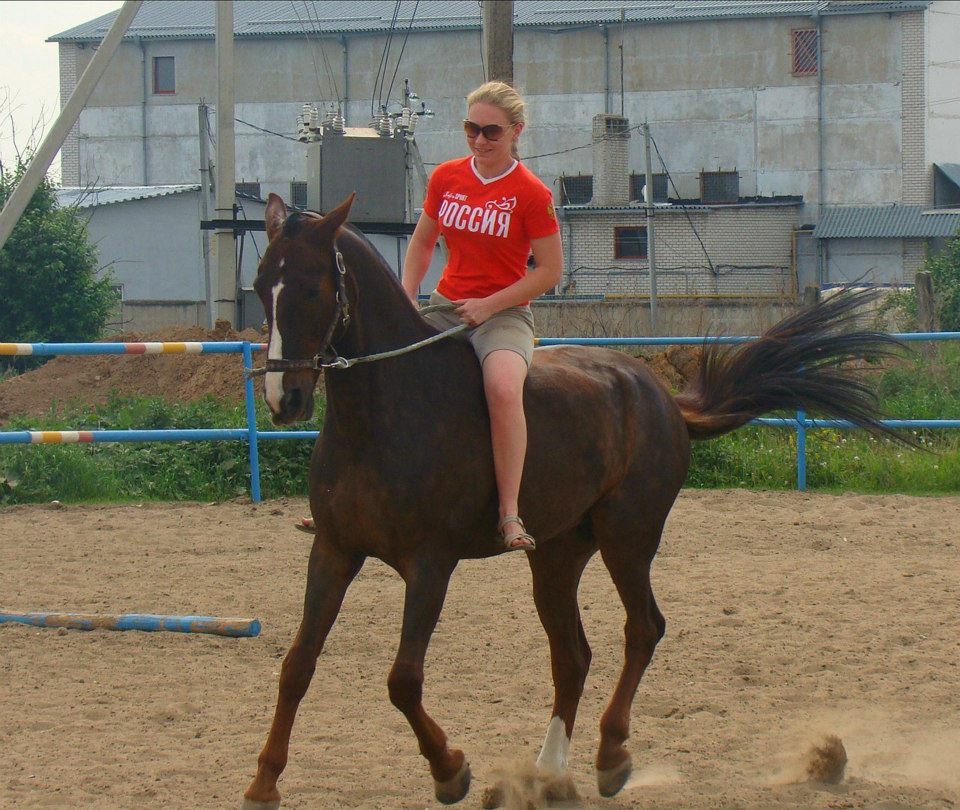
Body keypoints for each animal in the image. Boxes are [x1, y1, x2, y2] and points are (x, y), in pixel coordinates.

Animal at [240, 192, 902, 809]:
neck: (383, 413)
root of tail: (661, 396)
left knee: (643, 629)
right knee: (573, 655)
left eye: (311, 286)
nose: (284, 398)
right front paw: (263, 783)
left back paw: (611, 757)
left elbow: (403, 680)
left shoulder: (429, 566)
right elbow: (296, 665)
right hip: (555, 556)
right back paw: (550, 774)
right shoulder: (333, 551)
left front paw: (451, 770)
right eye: (261, 286)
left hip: (628, 539)